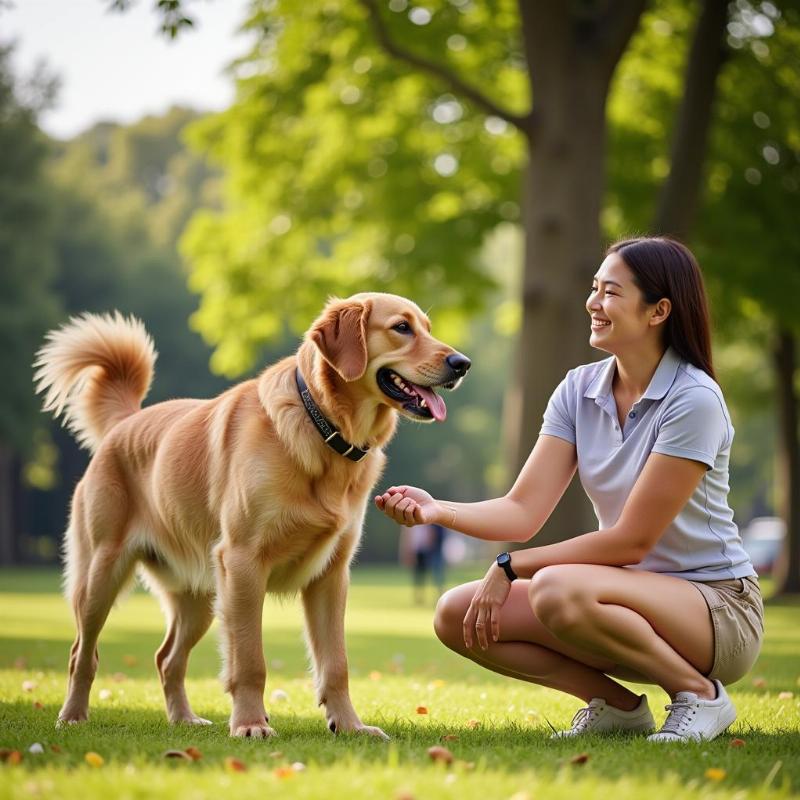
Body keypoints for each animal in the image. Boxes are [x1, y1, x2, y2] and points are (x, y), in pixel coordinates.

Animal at [36, 294, 468, 736]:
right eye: (402, 327)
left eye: (428, 328)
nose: (462, 364)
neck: (322, 426)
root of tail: (125, 423)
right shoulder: (243, 562)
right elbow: (249, 660)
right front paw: (249, 724)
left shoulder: (331, 575)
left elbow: (336, 664)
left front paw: (349, 726)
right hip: (102, 575)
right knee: (81, 653)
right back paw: (72, 715)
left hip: (201, 598)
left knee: (167, 658)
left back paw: (184, 718)